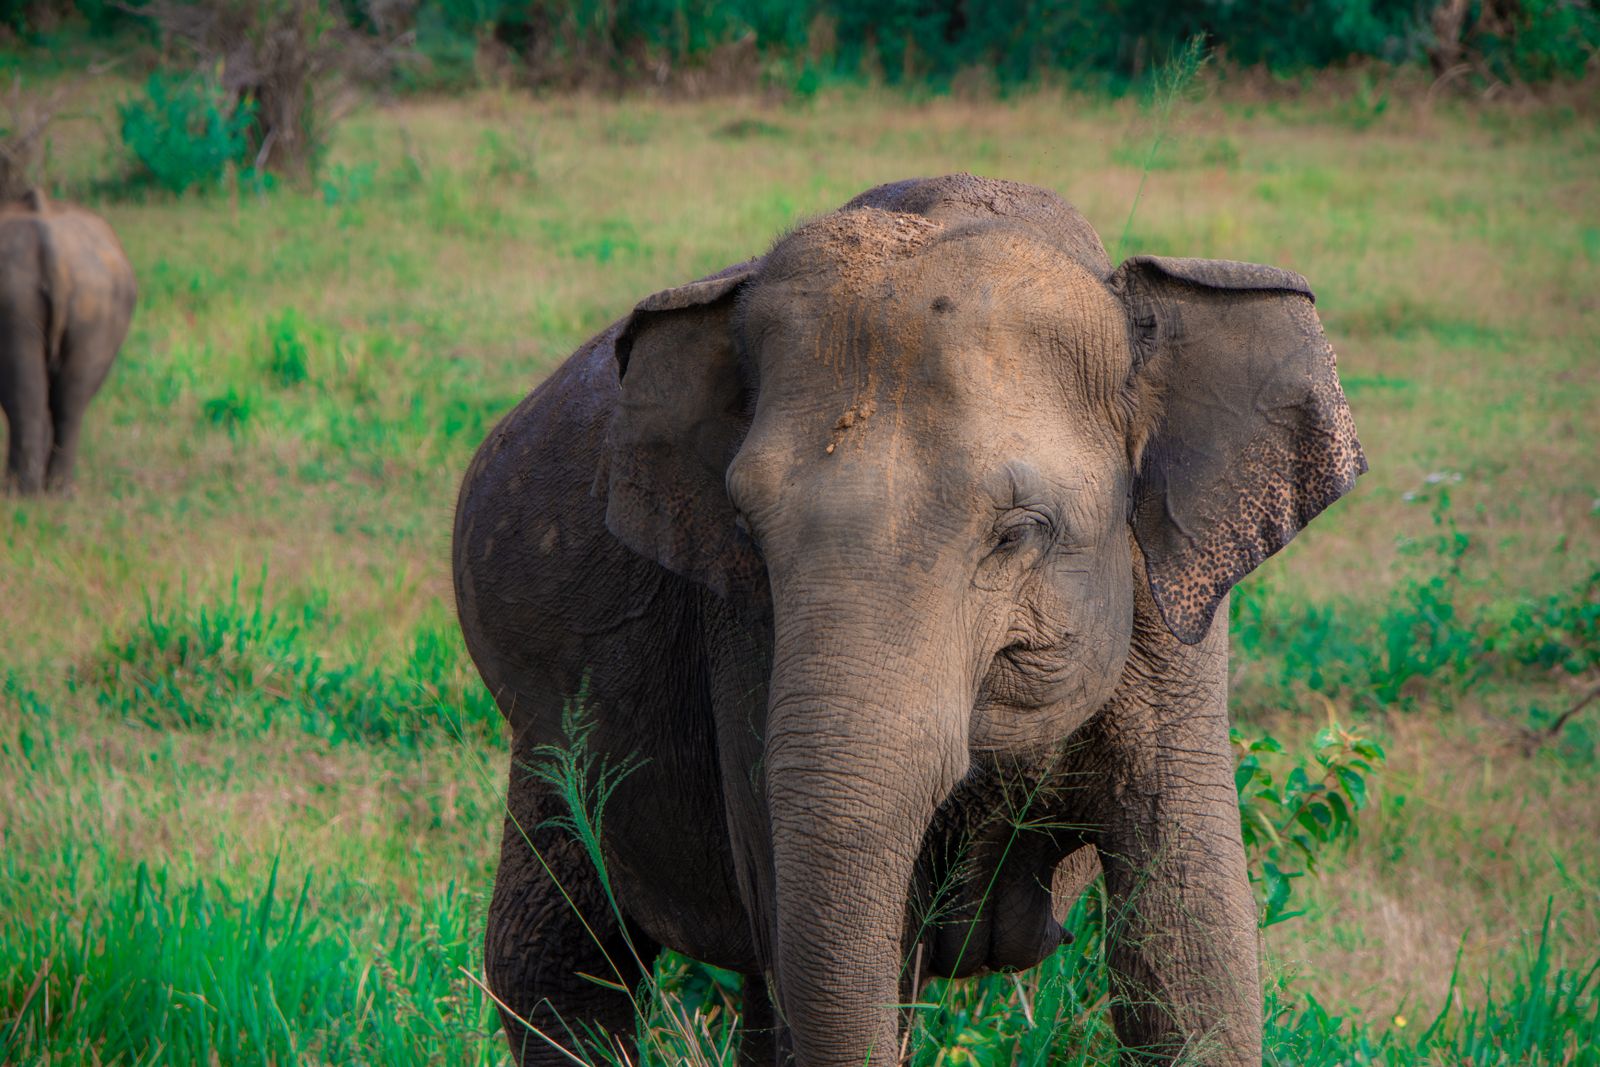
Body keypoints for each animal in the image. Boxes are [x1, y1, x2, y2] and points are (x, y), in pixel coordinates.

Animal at [452, 173, 1365, 1066]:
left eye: (1019, 530)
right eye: (746, 528)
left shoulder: (1172, 625)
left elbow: (1188, 955)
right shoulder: (740, 638)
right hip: (543, 734)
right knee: (561, 961)